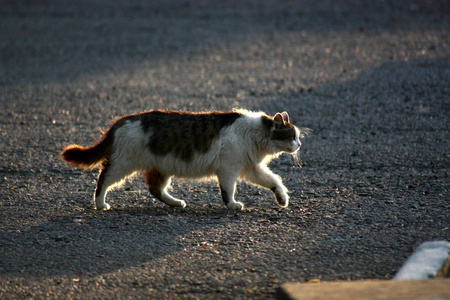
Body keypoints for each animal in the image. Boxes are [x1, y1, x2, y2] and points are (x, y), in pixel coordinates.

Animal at [60, 109, 306, 210]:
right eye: (292, 136)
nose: (300, 145)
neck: (254, 135)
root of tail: (121, 120)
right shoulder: (228, 169)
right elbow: (228, 191)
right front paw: (232, 205)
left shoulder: (250, 168)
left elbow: (274, 181)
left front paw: (282, 199)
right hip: (122, 164)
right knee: (103, 179)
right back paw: (101, 204)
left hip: (161, 168)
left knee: (155, 189)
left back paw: (176, 203)